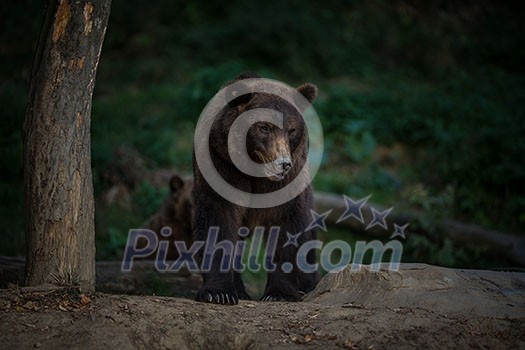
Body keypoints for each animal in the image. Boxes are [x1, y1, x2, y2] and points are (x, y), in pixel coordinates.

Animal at [191, 72, 318, 304]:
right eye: (264, 127)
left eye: (291, 129)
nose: (283, 163)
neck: (254, 171)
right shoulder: (221, 166)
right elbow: (218, 219)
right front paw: (218, 292)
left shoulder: (288, 183)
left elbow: (288, 224)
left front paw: (280, 293)